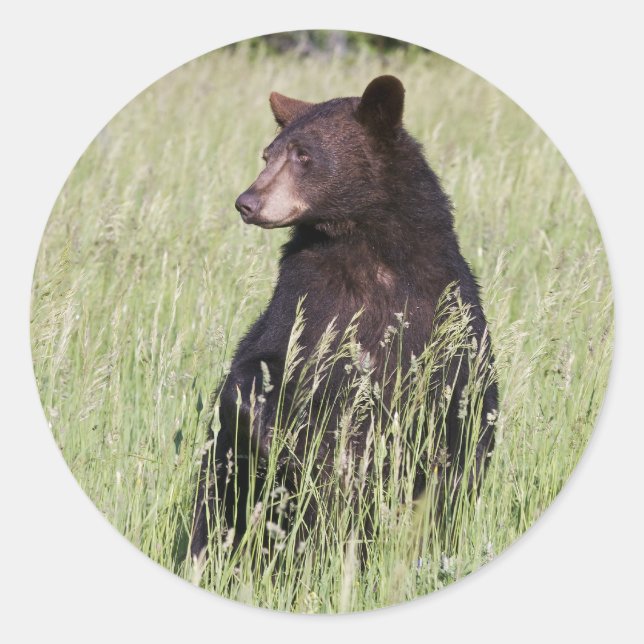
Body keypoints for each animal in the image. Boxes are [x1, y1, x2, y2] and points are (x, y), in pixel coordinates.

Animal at [190, 75, 498, 562]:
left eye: (304, 155)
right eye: (267, 154)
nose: (247, 202)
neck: (366, 247)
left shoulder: (443, 307)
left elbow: (465, 405)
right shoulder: (306, 297)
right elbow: (259, 366)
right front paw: (281, 441)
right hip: (226, 488)